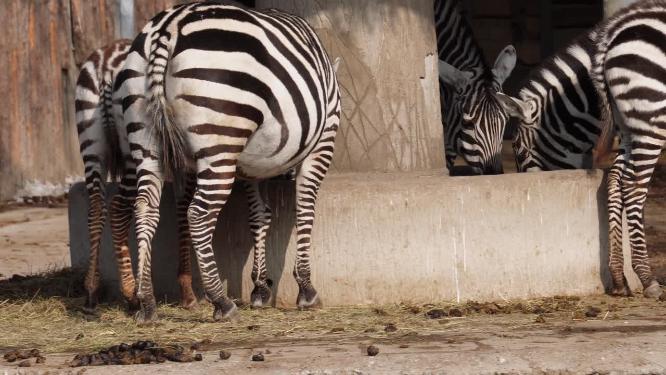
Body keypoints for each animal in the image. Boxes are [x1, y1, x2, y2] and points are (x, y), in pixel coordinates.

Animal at [74, 39, 197, 312]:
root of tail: (105, 65)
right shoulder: (186, 163)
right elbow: (184, 210)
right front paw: (187, 291)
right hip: (134, 152)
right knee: (119, 208)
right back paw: (133, 293)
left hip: (91, 145)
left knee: (97, 206)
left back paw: (92, 291)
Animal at [112, 0, 340, 324]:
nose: (285, 176)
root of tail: (170, 25)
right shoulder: (323, 140)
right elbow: (305, 209)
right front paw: (306, 289)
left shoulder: (249, 165)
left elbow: (260, 215)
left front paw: (260, 287)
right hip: (220, 138)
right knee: (198, 214)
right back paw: (221, 301)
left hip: (146, 139)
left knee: (145, 208)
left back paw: (146, 303)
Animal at [492, 0, 664, 300]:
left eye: (520, 153)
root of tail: (611, 39)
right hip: (649, 116)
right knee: (632, 186)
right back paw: (646, 279)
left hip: (631, 126)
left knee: (616, 181)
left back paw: (619, 278)